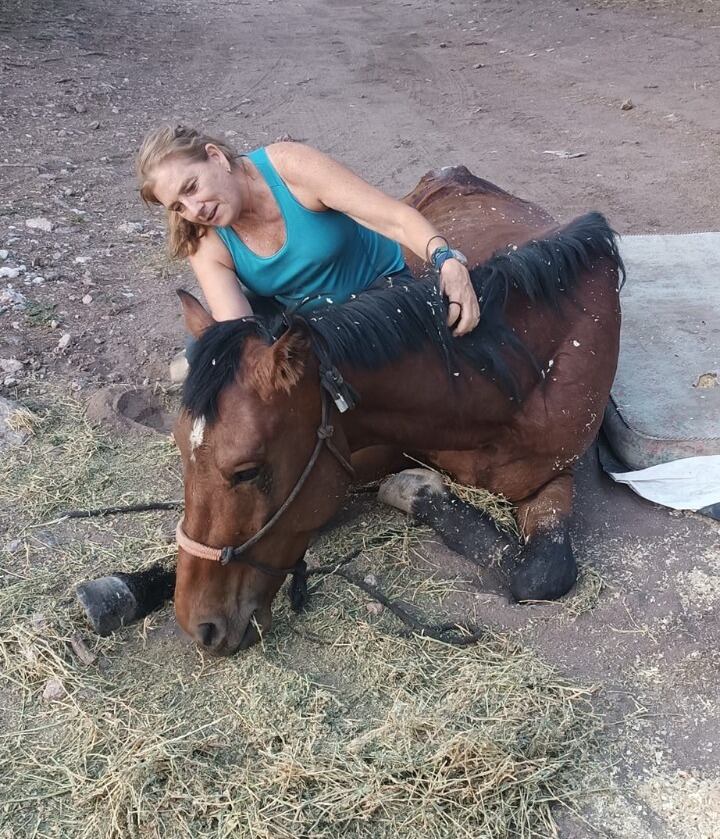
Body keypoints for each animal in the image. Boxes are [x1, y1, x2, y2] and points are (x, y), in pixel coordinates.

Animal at [76, 167, 620, 656]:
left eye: (247, 471)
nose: (199, 626)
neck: (512, 376)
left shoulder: (554, 477)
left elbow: (543, 573)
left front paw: (413, 490)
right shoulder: (354, 443)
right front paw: (123, 589)